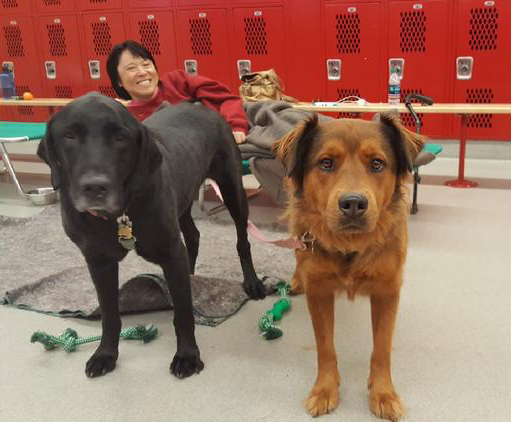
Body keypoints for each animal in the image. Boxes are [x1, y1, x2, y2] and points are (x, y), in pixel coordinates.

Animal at [38, 92, 266, 380]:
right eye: (69, 136)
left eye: (120, 137)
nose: (95, 187)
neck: (120, 215)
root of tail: (200, 107)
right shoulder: (98, 262)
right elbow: (109, 315)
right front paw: (105, 355)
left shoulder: (170, 252)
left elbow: (183, 314)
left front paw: (187, 356)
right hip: (183, 200)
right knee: (193, 236)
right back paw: (191, 276)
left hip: (232, 188)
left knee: (241, 241)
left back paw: (252, 282)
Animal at [276, 113, 424, 420]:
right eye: (326, 163)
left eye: (377, 163)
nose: (353, 203)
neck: (350, 245)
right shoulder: (319, 292)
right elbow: (325, 347)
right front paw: (324, 389)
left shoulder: (387, 292)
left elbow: (381, 348)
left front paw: (383, 393)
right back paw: (295, 279)